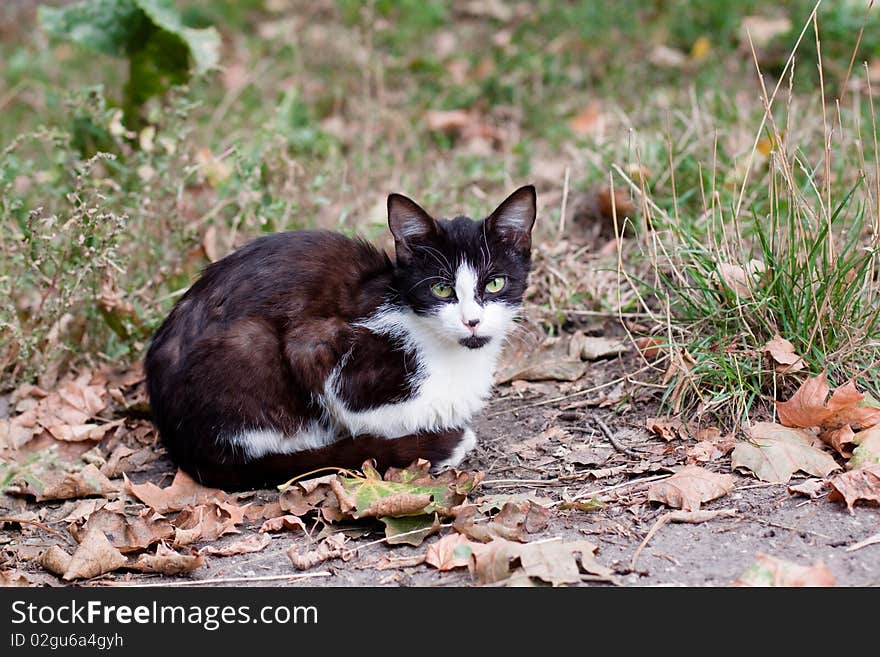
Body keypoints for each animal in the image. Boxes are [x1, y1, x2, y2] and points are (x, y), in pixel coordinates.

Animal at [144, 184, 536, 486]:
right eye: (440, 289)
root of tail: (181, 443)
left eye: (495, 283)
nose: (472, 321)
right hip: (248, 344)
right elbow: (367, 412)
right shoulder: (317, 343)